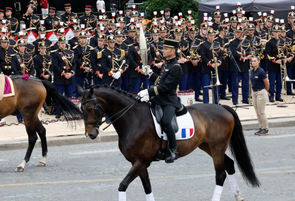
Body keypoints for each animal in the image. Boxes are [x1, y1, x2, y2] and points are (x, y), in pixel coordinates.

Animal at [77, 85, 260, 201]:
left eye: (91, 108)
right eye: (81, 109)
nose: (90, 134)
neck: (133, 118)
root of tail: (222, 107)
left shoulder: (140, 162)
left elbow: (122, 186)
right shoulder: (139, 164)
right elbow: (147, 187)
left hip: (217, 147)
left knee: (220, 174)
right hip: (209, 146)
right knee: (229, 165)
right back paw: (238, 196)